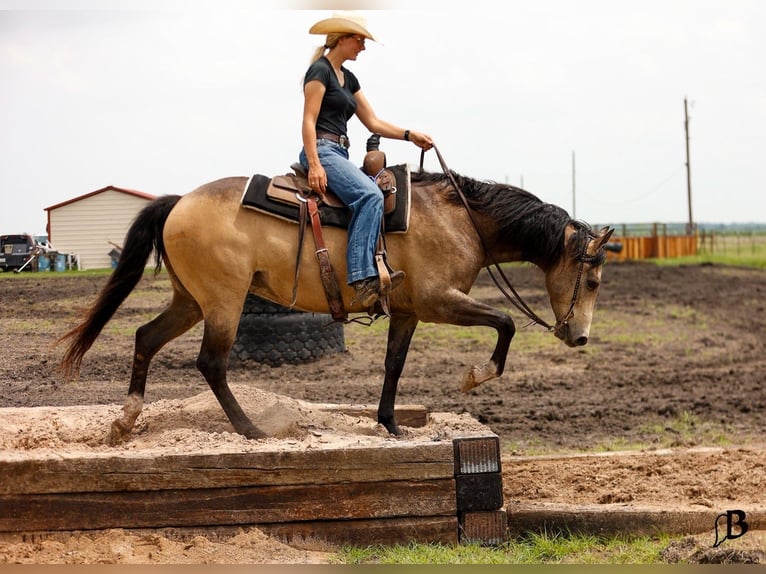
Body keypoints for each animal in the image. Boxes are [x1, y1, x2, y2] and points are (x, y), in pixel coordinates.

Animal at [58, 165, 613, 443]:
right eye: (592, 280)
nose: (580, 336)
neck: (459, 219)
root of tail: (179, 202)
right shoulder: (438, 302)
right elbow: (505, 322)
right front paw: (475, 376)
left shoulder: (408, 312)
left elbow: (393, 365)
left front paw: (390, 423)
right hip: (223, 303)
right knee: (211, 363)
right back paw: (251, 429)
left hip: (190, 301)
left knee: (145, 337)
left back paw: (126, 421)